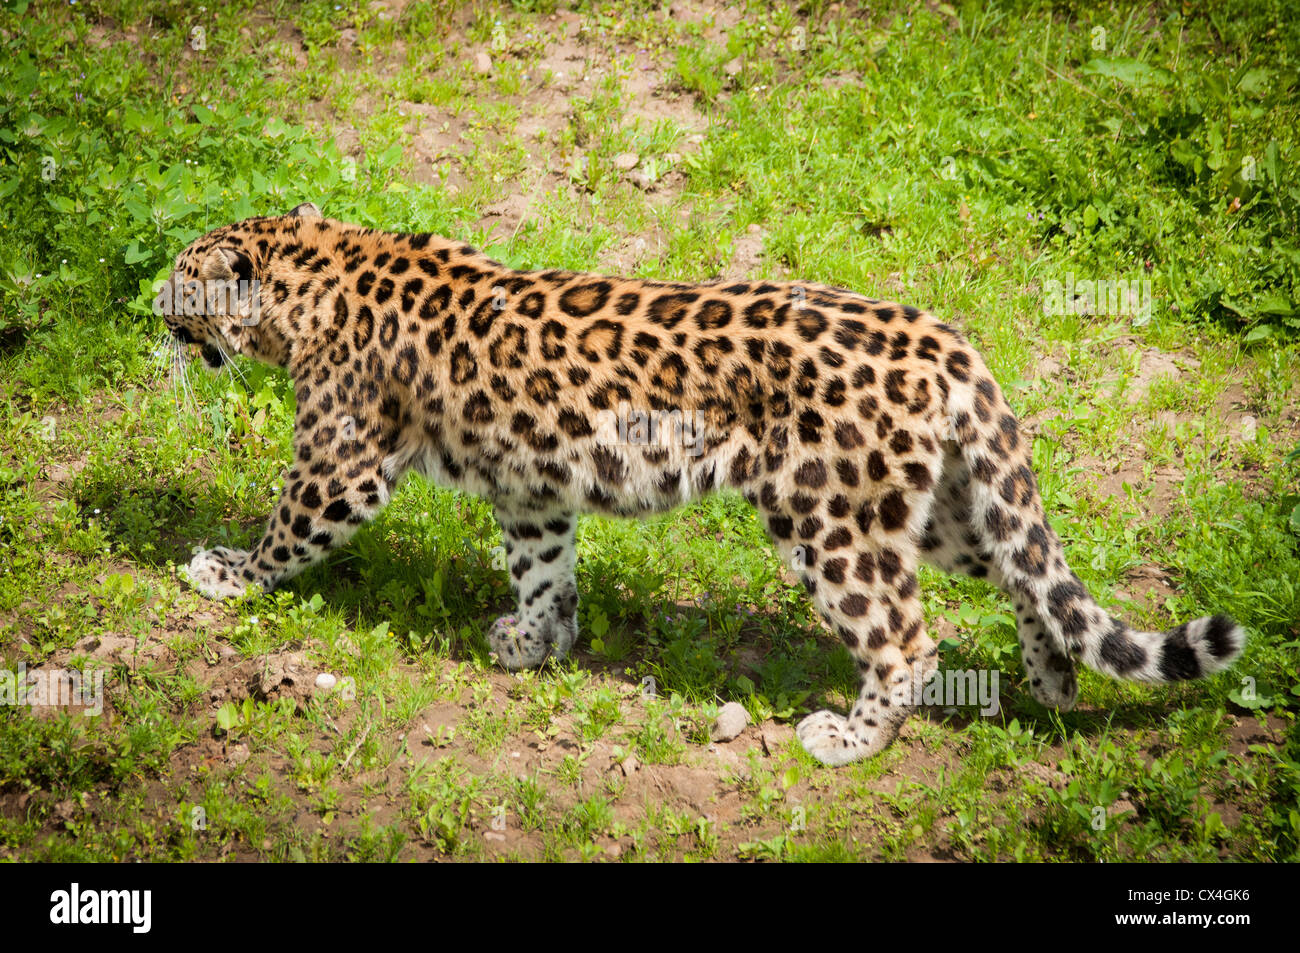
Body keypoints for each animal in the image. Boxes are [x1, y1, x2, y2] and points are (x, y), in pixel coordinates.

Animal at [158, 202, 1245, 766]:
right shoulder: (532, 484)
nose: (148, 302)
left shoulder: (340, 459)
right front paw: (536, 642)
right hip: (932, 505)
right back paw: (1053, 679)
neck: (313, 271)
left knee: (905, 637)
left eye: (180, 273)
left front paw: (222, 572)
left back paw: (846, 738)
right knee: (1023, 572)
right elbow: (542, 566)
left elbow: (288, 525)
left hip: (828, 517)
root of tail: (942, 337)